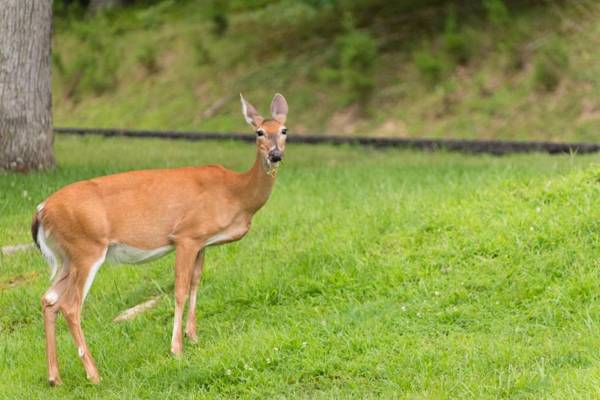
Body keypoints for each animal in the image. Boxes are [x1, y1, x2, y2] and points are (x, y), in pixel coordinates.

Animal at [31, 93, 290, 384]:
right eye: (259, 132)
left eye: (284, 130)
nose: (275, 155)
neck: (236, 193)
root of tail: (41, 210)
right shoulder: (186, 235)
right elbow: (179, 289)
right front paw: (177, 348)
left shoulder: (202, 241)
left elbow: (196, 282)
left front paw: (193, 336)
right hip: (86, 249)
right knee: (70, 305)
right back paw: (94, 374)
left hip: (67, 257)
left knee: (49, 299)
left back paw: (55, 378)